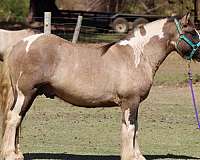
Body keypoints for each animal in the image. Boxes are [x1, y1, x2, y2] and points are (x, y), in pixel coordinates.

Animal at [0, 13, 200, 160]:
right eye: (192, 32)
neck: (137, 55)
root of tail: (20, 45)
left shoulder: (133, 103)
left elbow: (135, 128)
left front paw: (137, 156)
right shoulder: (130, 101)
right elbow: (130, 128)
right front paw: (130, 156)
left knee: (18, 121)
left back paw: (17, 153)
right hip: (26, 93)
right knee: (14, 119)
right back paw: (10, 155)